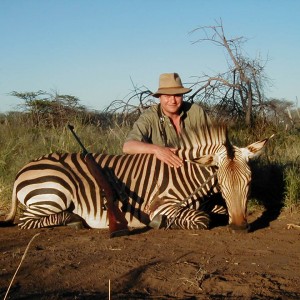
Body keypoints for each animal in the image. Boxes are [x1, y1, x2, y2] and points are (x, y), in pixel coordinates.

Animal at [0, 125, 272, 231]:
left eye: (249, 183)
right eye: (221, 183)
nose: (240, 227)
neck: (187, 174)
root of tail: (23, 169)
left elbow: (216, 210)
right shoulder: (162, 204)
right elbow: (202, 218)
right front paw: (161, 223)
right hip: (55, 192)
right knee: (26, 221)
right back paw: (75, 220)